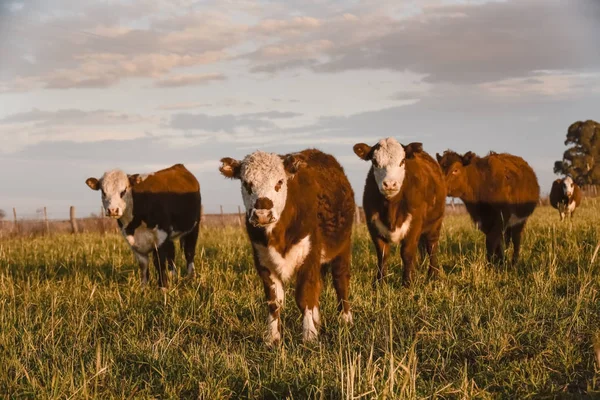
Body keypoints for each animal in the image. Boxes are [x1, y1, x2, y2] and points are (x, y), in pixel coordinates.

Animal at [354, 138, 448, 288]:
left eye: (402, 161)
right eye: (374, 161)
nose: (389, 184)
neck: (391, 209)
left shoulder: (414, 223)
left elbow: (407, 253)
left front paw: (408, 283)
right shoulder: (373, 225)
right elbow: (382, 254)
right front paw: (379, 283)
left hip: (436, 223)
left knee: (432, 247)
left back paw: (433, 275)